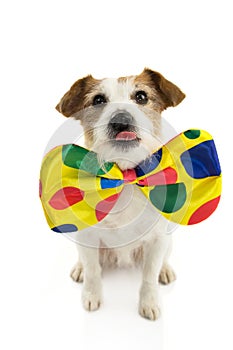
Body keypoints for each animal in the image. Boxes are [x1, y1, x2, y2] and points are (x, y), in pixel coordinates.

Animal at [55, 68, 185, 320]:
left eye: (141, 97)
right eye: (98, 100)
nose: (121, 119)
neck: (125, 176)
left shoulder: (157, 239)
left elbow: (149, 276)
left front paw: (149, 302)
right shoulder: (87, 236)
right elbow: (93, 270)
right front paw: (91, 295)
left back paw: (165, 270)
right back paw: (79, 268)